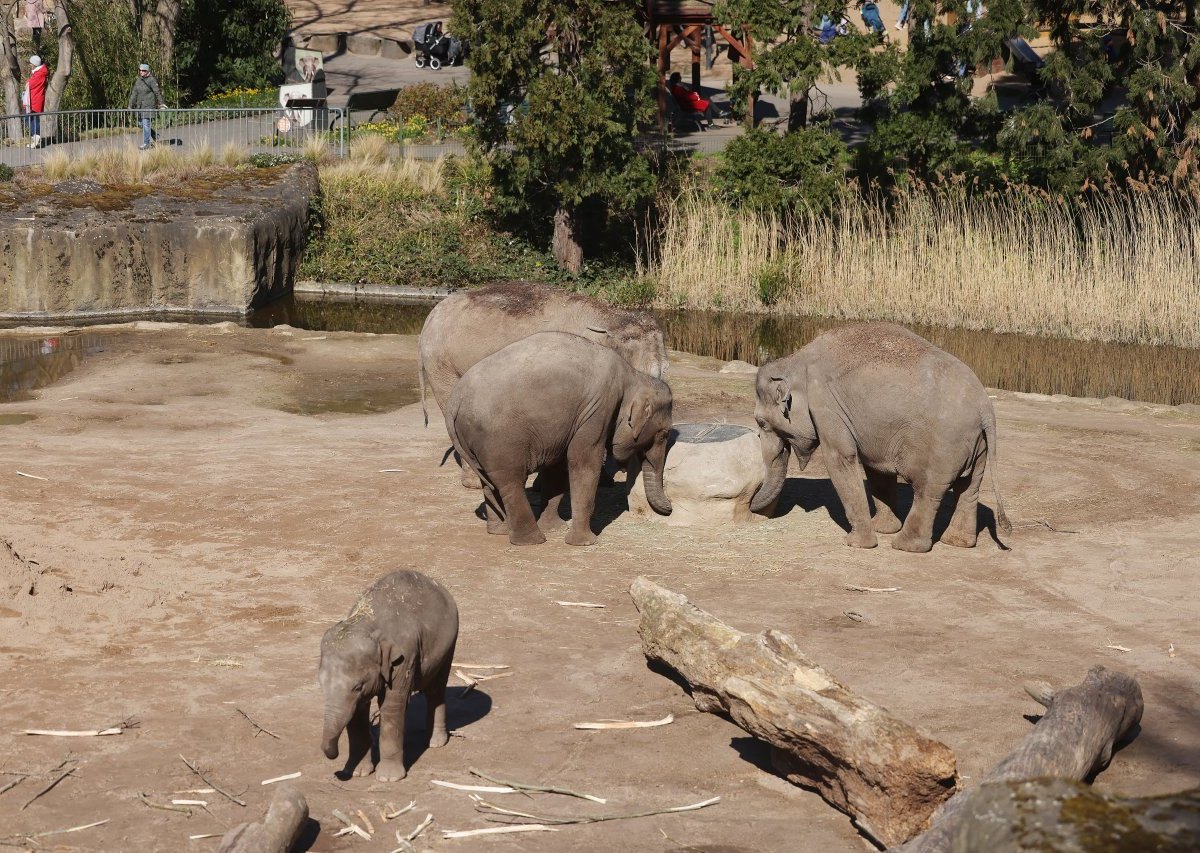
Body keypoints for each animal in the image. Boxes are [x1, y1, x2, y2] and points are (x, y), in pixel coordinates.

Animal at [319, 573, 458, 782]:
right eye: (321, 685)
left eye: (357, 687)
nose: (337, 772)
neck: (367, 622)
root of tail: (437, 583)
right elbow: (357, 713)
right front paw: (357, 772)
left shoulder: (404, 658)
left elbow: (391, 706)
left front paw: (388, 778)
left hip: (449, 644)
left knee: (436, 689)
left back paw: (435, 743)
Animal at [448, 331, 681, 544]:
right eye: (664, 434)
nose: (670, 507)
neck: (633, 375)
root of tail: (455, 400)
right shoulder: (598, 409)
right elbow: (584, 462)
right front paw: (585, 542)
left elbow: (557, 467)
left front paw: (556, 529)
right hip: (499, 441)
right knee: (510, 482)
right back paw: (532, 540)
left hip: (475, 443)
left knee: (489, 483)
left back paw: (500, 531)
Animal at [748, 321, 1012, 554]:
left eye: (761, 422)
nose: (752, 503)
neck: (796, 359)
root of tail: (985, 408)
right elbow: (876, 469)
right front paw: (881, 529)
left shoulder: (826, 407)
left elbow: (841, 460)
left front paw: (857, 543)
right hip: (978, 445)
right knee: (969, 488)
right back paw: (958, 542)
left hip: (943, 447)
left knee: (928, 491)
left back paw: (905, 546)